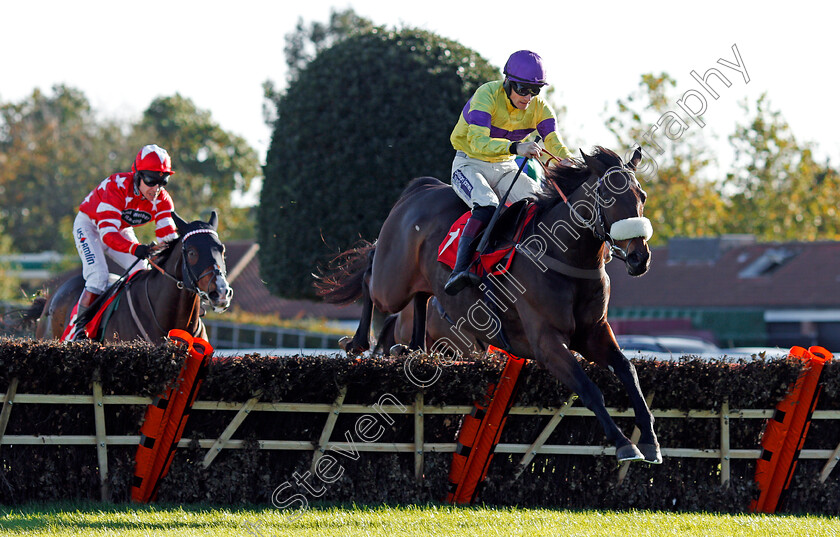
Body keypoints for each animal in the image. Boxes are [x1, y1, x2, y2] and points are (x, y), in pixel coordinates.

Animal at [318, 146, 660, 460]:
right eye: (608, 195)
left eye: (641, 195)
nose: (639, 258)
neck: (564, 257)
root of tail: (420, 188)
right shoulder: (547, 342)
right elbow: (589, 389)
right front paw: (624, 444)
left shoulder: (594, 333)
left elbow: (628, 370)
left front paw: (650, 440)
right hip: (393, 282)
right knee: (370, 274)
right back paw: (358, 342)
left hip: (419, 281)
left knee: (421, 296)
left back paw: (415, 349)